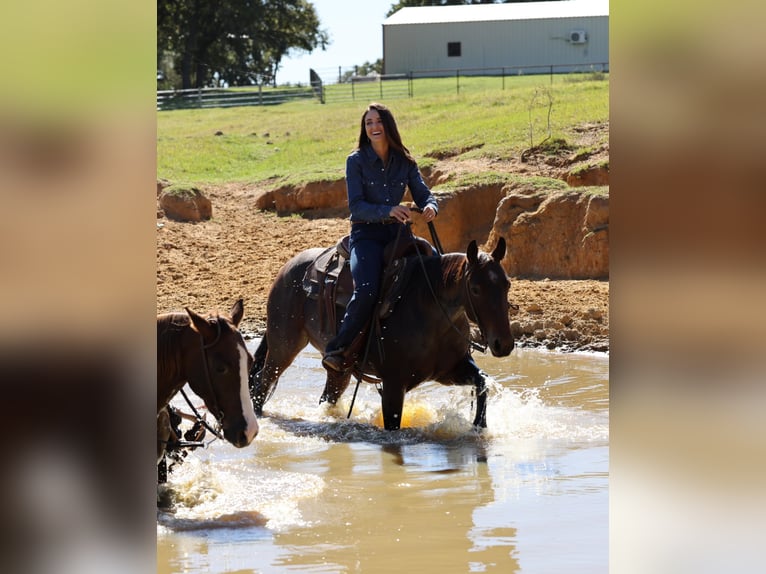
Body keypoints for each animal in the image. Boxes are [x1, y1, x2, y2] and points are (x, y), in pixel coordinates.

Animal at [252, 236, 516, 430]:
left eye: (507, 284)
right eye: (476, 288)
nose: (503, 344)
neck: (430, 310)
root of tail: (290, 267)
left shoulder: (449, 370)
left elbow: (482, 381)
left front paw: (479, 425)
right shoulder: (392, 385)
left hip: (339, 371)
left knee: (326, 397)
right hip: (283, 346)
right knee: (262, 383)